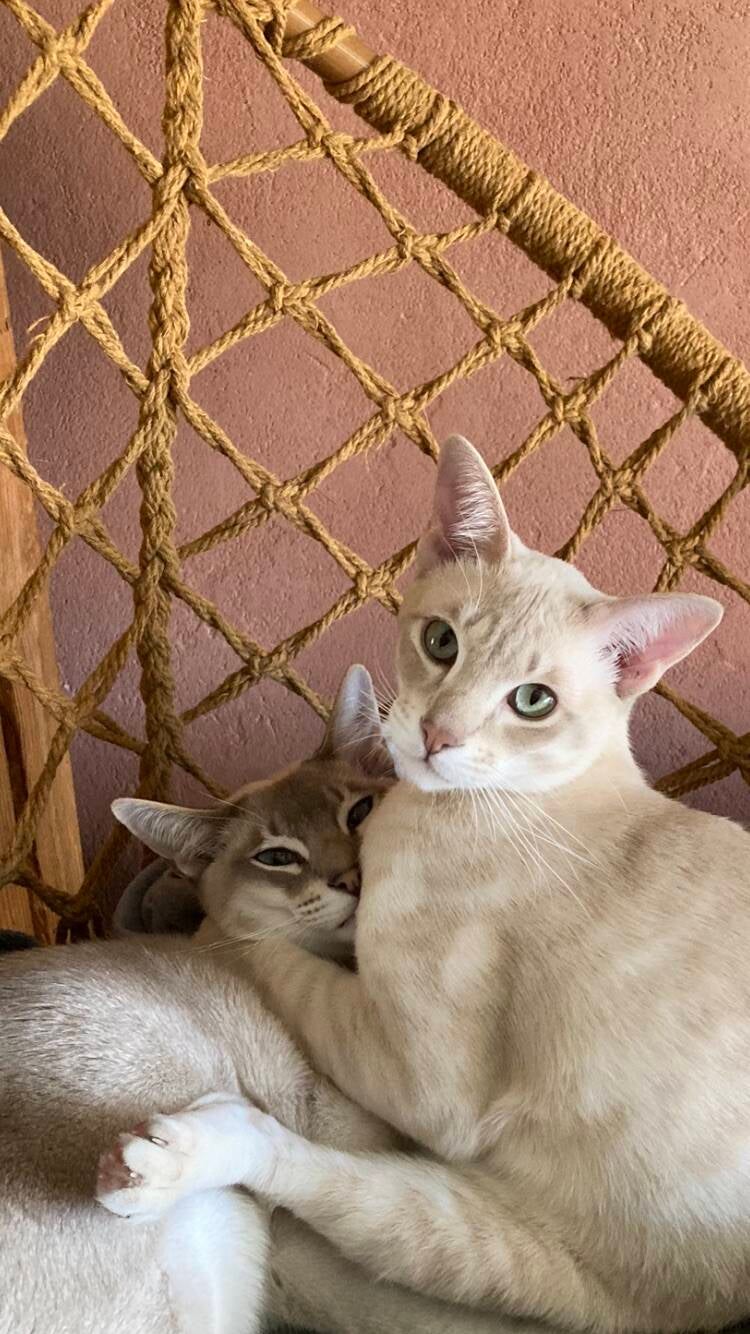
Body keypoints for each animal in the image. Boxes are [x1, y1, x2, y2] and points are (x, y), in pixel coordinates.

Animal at [99, 434, 750, 1333]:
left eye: (533, 700)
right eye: (441, 643)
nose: (437, 735)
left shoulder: (419, 1075)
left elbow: (269, 951)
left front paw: (204, 917)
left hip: (476, 1235)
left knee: (299, 1165)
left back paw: (174, 1156)